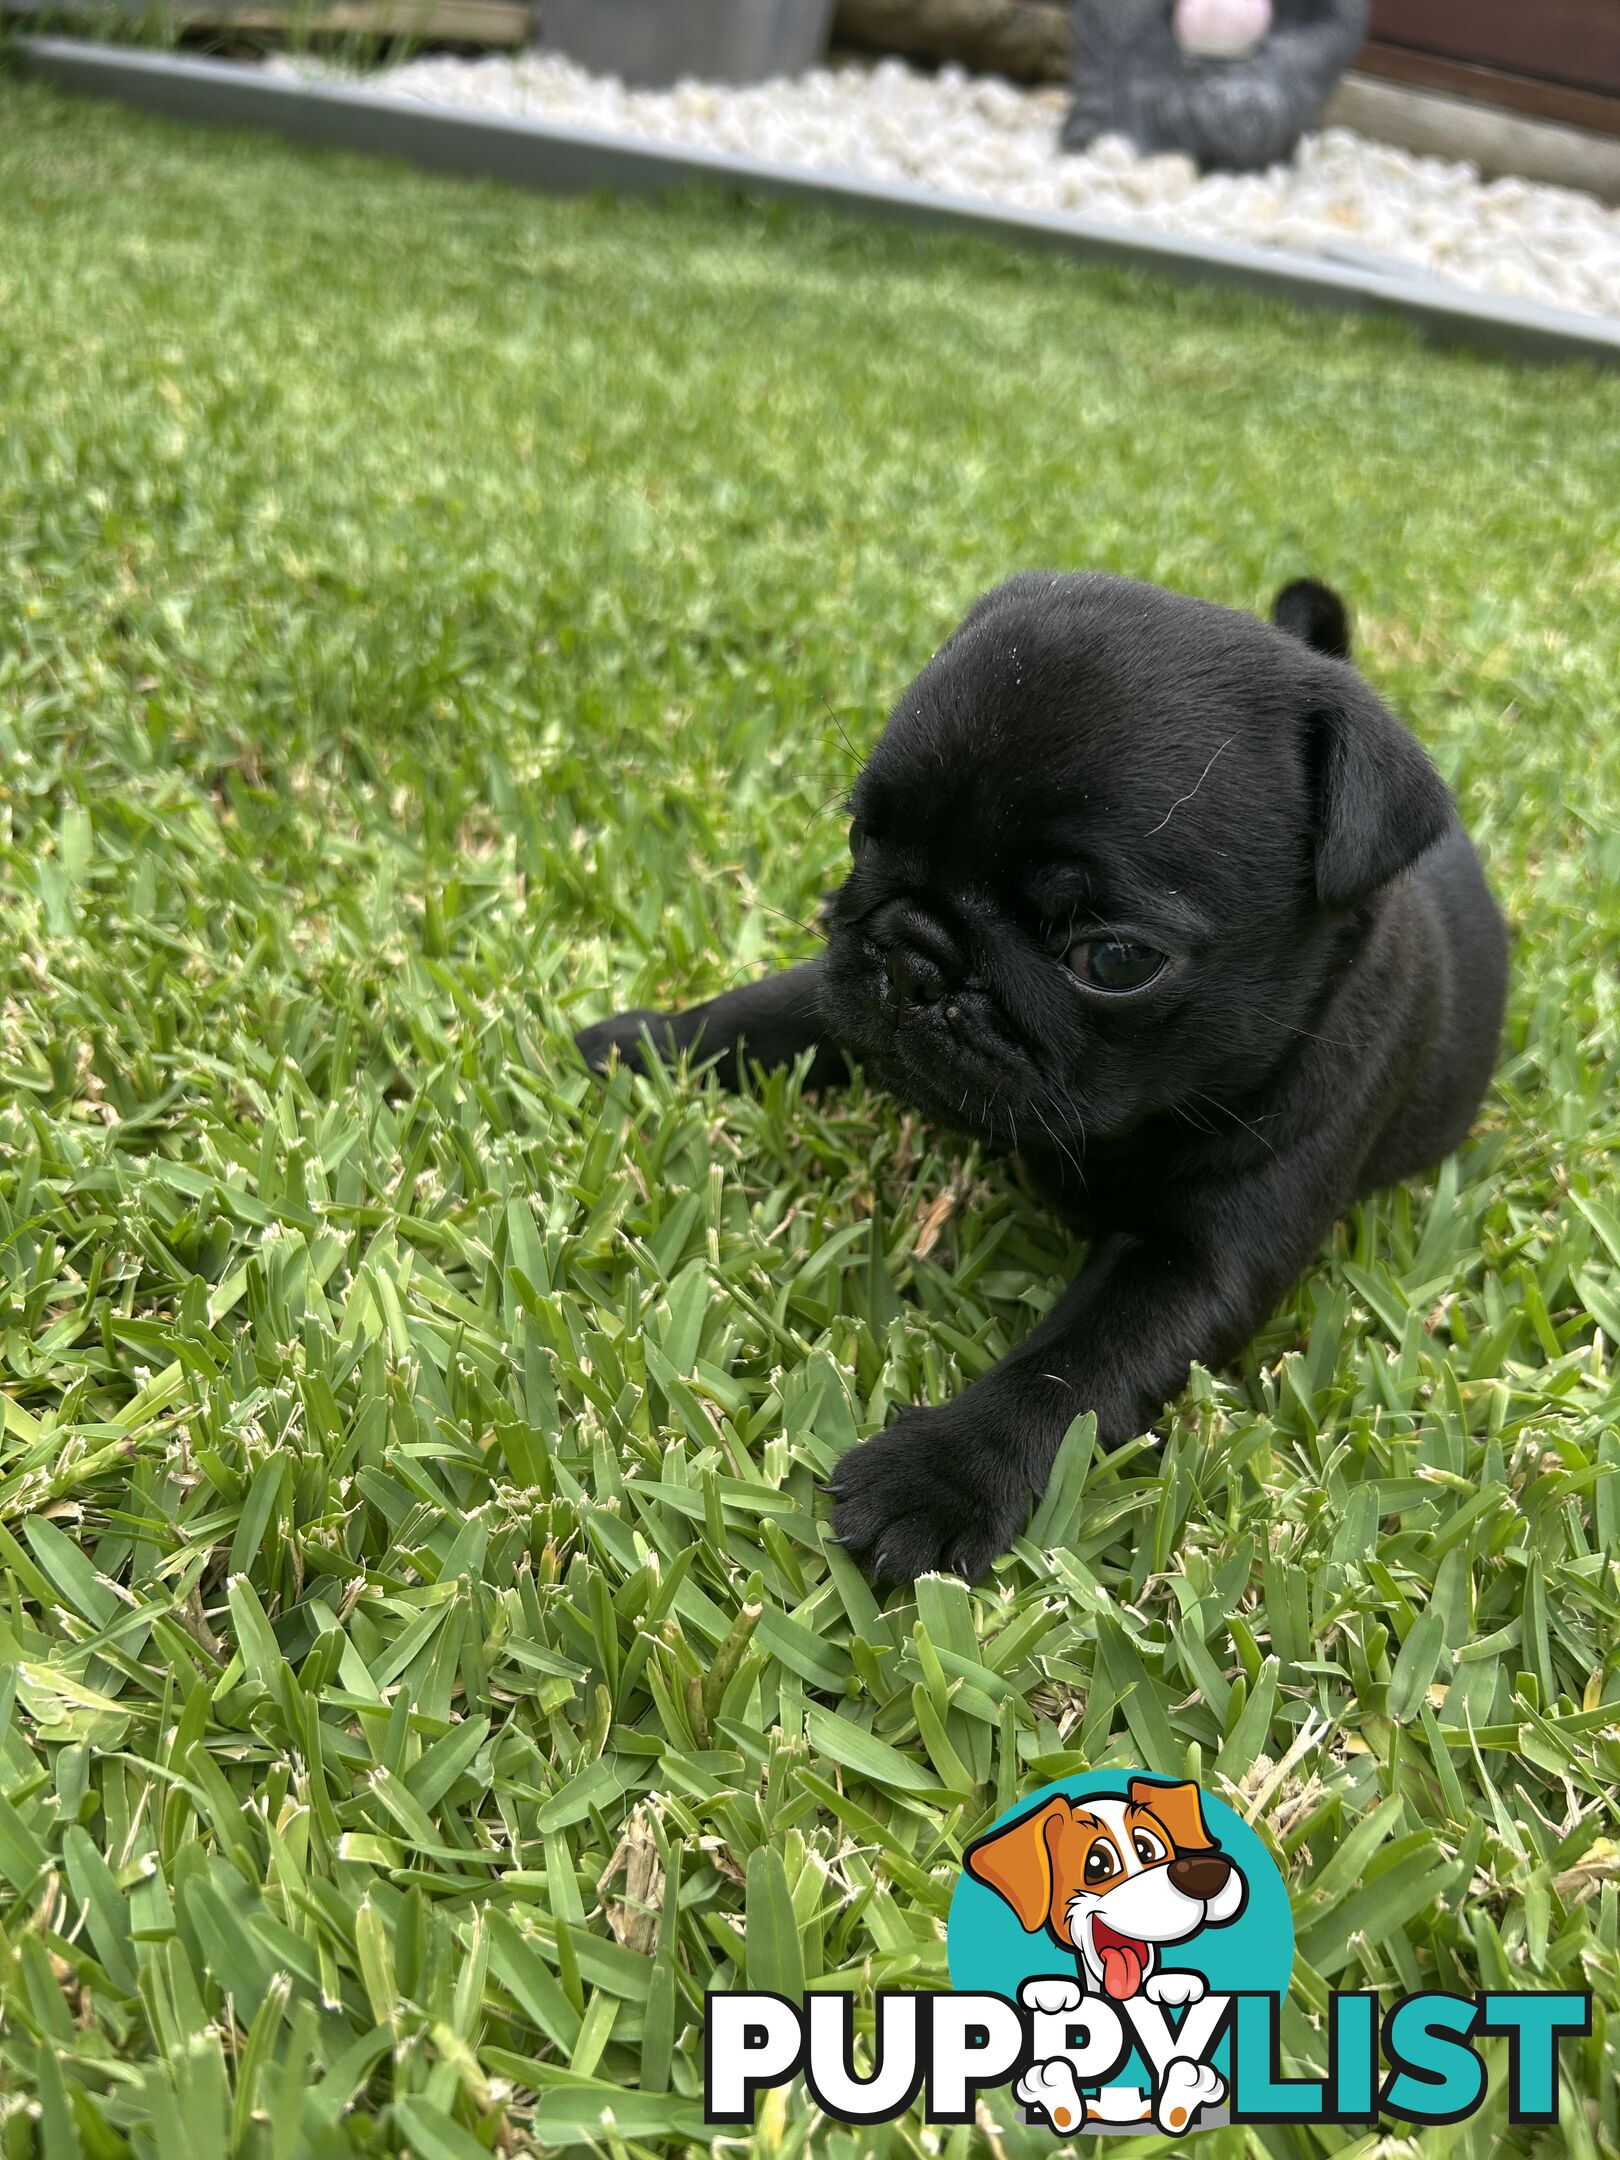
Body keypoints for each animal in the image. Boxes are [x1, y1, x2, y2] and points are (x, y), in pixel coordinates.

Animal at [578, 574, 1512, 1589]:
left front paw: (941, 1476)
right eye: (863, 837)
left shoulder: (1198, 1262)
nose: (913, 961)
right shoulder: (829, 996)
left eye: (1114, 959)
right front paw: (646, 1042)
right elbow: (777, 1007)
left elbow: (1075, 1367)